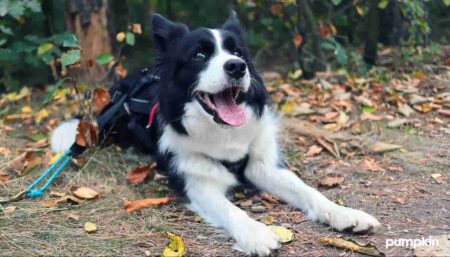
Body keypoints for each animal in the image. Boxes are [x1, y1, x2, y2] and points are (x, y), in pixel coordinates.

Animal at [51, 11, 382, 254]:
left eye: (237, 52)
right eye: (199, 55)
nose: (237, 66)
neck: (222, 132)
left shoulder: (263, 166)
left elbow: (308, 191)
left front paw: (344, 213)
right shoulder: (196, 182)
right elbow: (229, 209)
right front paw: (257, 234)